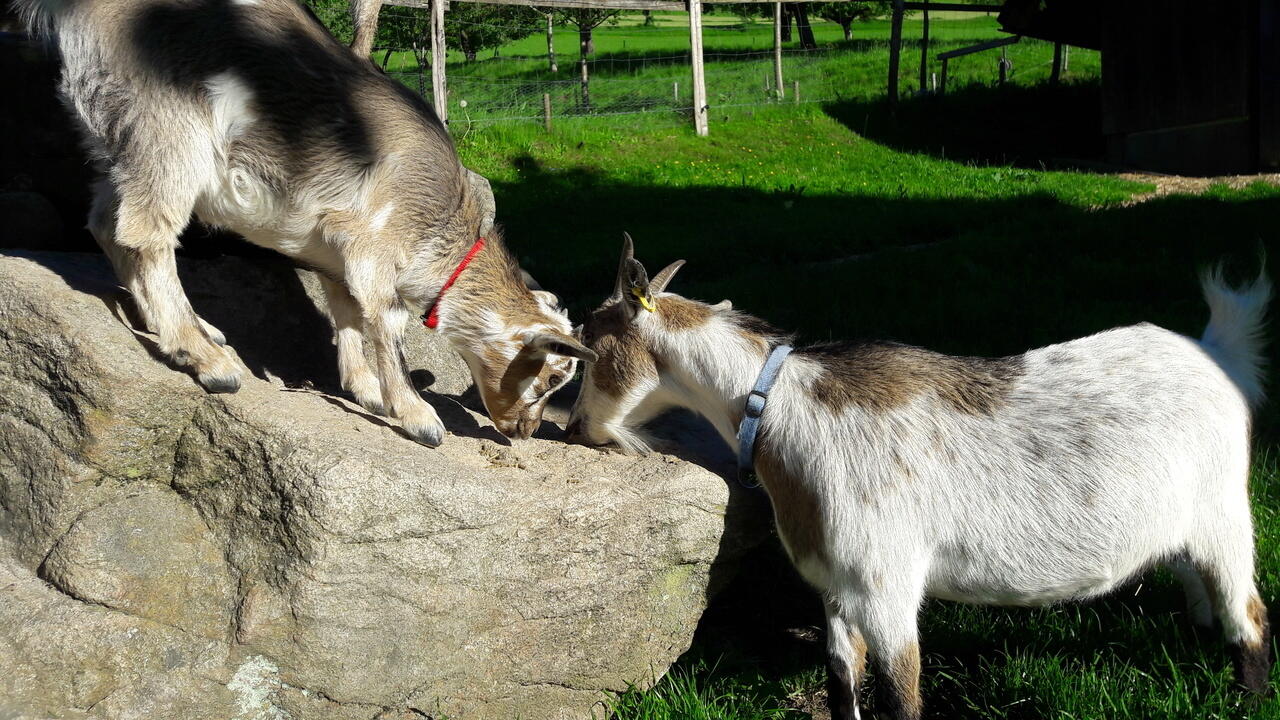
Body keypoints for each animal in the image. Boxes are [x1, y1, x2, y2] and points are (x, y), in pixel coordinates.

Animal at [17, 0, 594, 446]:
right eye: (551, 376)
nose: (522, 433)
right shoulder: (374, 243)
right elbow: (385, 321)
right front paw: (417, 417)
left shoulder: (335, 255)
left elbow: (346, 312)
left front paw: (364, 388)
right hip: (166, 124)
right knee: (144, 231)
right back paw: (207, 359)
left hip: (116, 133)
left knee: (103, 221)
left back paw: (188, 326)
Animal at [567, 235, 1273, 719]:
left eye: (586, 342)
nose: (573, 427)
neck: (781, 406)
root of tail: (1214, 353)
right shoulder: (834, 585)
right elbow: (840, 678)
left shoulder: (887, 586)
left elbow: (900, 698)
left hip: (1225, 514)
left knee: (1251, 617)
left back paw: (1250, 698)